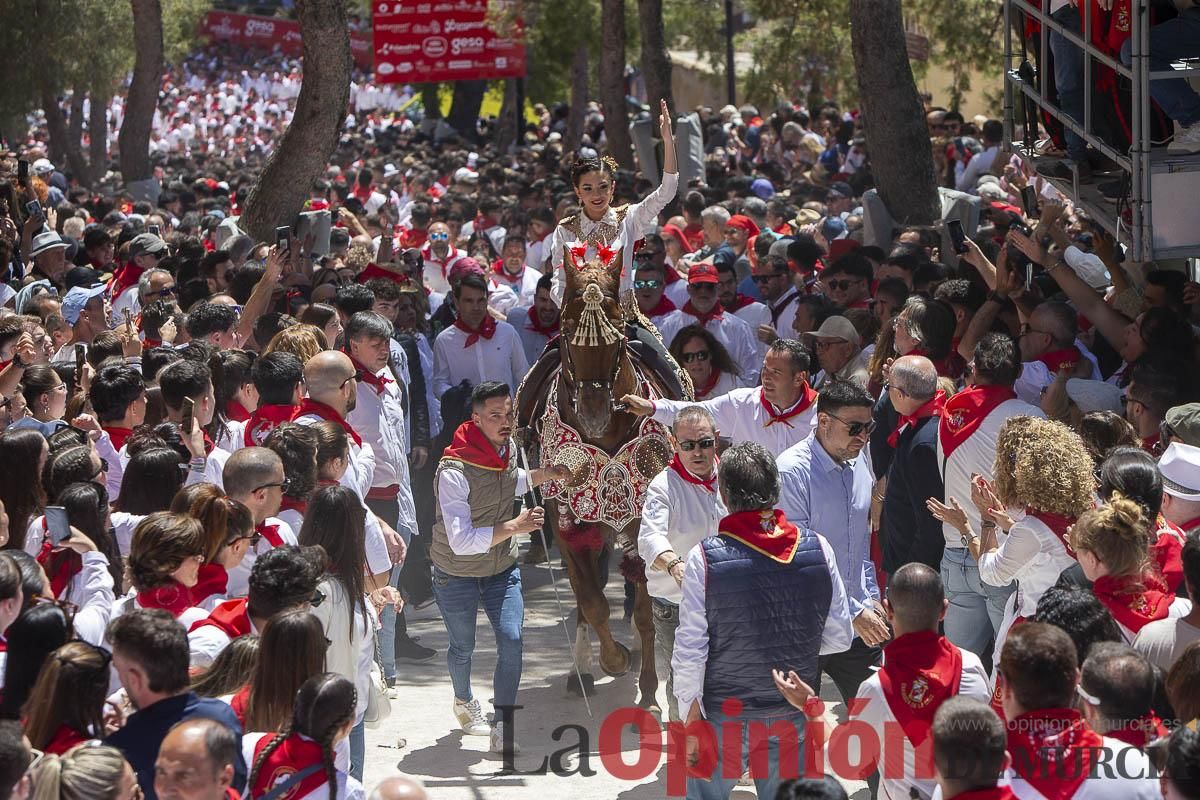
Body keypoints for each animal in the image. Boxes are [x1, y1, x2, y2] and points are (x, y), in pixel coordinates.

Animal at [518, 247, 681, 710]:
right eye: (567, 336)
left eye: (618, 340)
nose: (594, 414)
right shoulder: (567, 522)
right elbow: (591, 604)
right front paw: (612, 660)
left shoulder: (641, 519)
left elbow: (644, 610)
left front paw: (649, 689)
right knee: (583, 599)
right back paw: (583, 672)